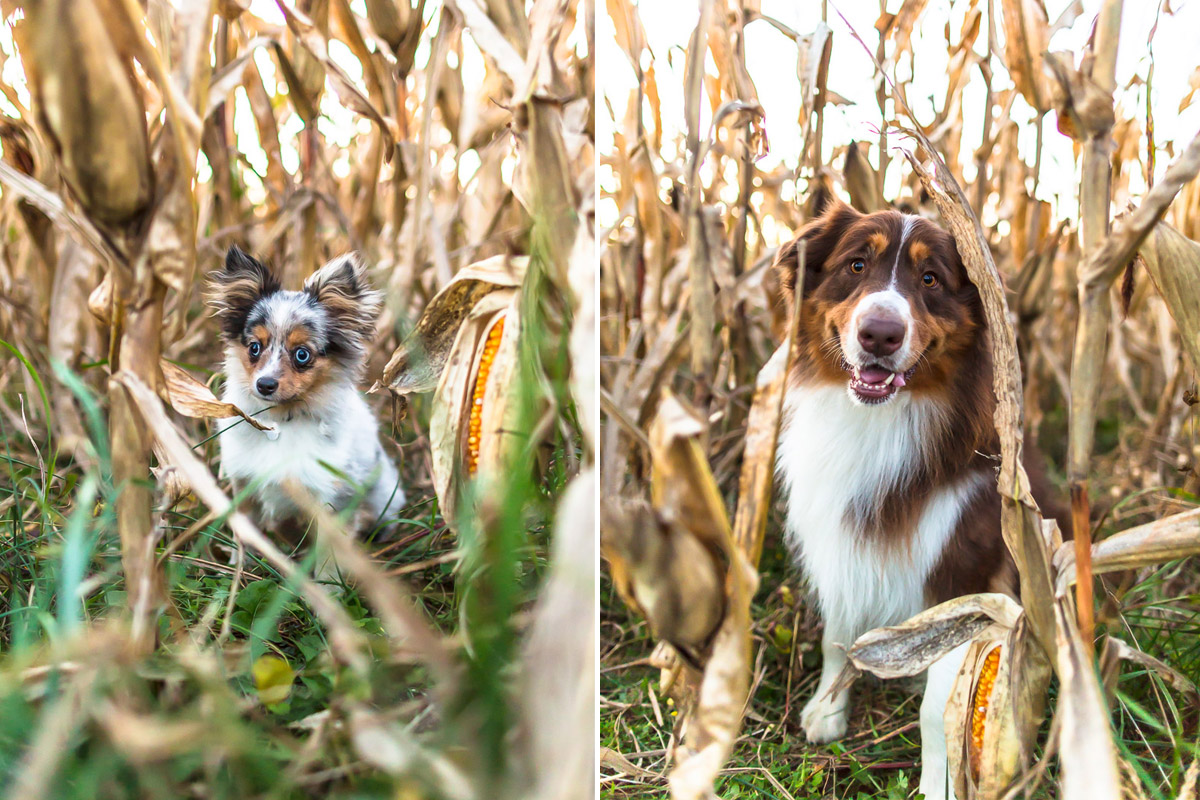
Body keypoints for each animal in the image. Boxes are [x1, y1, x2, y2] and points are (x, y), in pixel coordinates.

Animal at [206, 247, 403, 534]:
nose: (264, 385)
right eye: (254, 347)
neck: (281, 421)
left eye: (302, 354)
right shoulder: (243, 487)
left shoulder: (332, 498)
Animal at [772, 201, 1065, 800]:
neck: (879, 421)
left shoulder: (966, 577)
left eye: (930, 279)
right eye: (856, 264)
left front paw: (944, 780)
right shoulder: (842, 541)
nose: (879, 334)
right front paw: (827, 710)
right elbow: (838, 636)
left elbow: (940, 706)